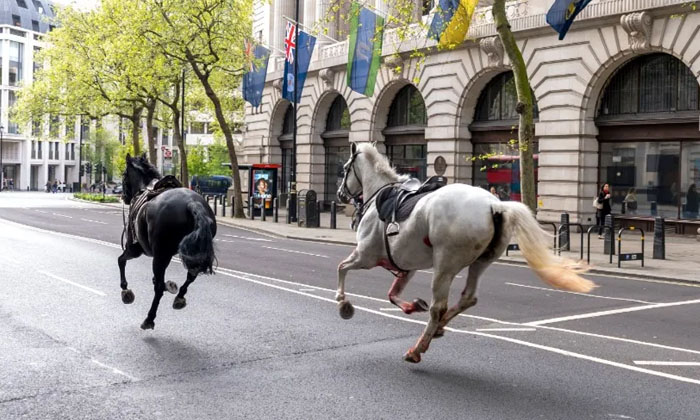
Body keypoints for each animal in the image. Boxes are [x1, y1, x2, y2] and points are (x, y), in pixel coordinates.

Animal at [119, 153, 216, 330]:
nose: (124, 197)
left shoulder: (134, 249)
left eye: (124, 175)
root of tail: (192, 203)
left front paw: (125, 290)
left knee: (158, 288)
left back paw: (149, 319)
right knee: (191, 275)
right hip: (190, 252)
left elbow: (121, 261)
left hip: (158, 254)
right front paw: (170, 286)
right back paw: (179, 297)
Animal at [336, 143, 592, 362]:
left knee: (438, 307)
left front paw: (343, 303)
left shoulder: (366, 256)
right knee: (467, 298)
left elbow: (342, 268)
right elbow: (392, 294)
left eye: (345, 168)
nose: (339, 195)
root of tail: (496, 205)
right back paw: (438, 328)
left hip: (445, 265)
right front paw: (412, 305)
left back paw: (417, 349)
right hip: (480, 261)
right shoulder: (406, 265)